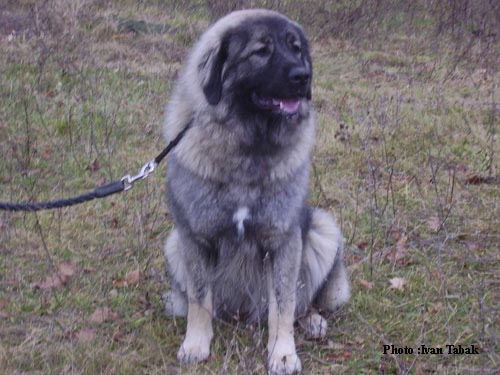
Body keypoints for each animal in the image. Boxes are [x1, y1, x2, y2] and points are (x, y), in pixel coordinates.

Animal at [162, 9, 350, 375]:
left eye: (296, 49)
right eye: (261, 51)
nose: (303, 76)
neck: (248, 149)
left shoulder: (284, 241)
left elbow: (284, 304)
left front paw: (283, 353)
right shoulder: (194, 237)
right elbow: (199, 299)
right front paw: (196, 343)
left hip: (322, 230)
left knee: (303, 301)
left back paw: (313, 321)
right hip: (174, 244)